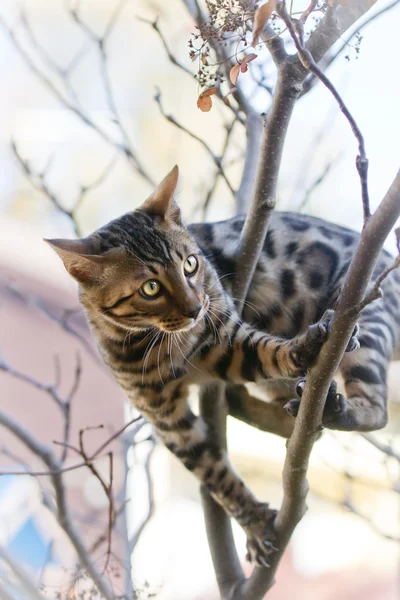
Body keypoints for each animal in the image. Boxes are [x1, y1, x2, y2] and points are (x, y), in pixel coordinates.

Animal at [46, 165, 396, 568]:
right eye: (150, 288)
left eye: (190, 264)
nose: (195, 308)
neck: (160, 345)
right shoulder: (167, 418)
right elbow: (216, 475)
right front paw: (256, 524)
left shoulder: (226, 338)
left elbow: (269, 352)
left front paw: (305, 347)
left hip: (369, 320)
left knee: (376, 411)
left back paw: (334, 409)